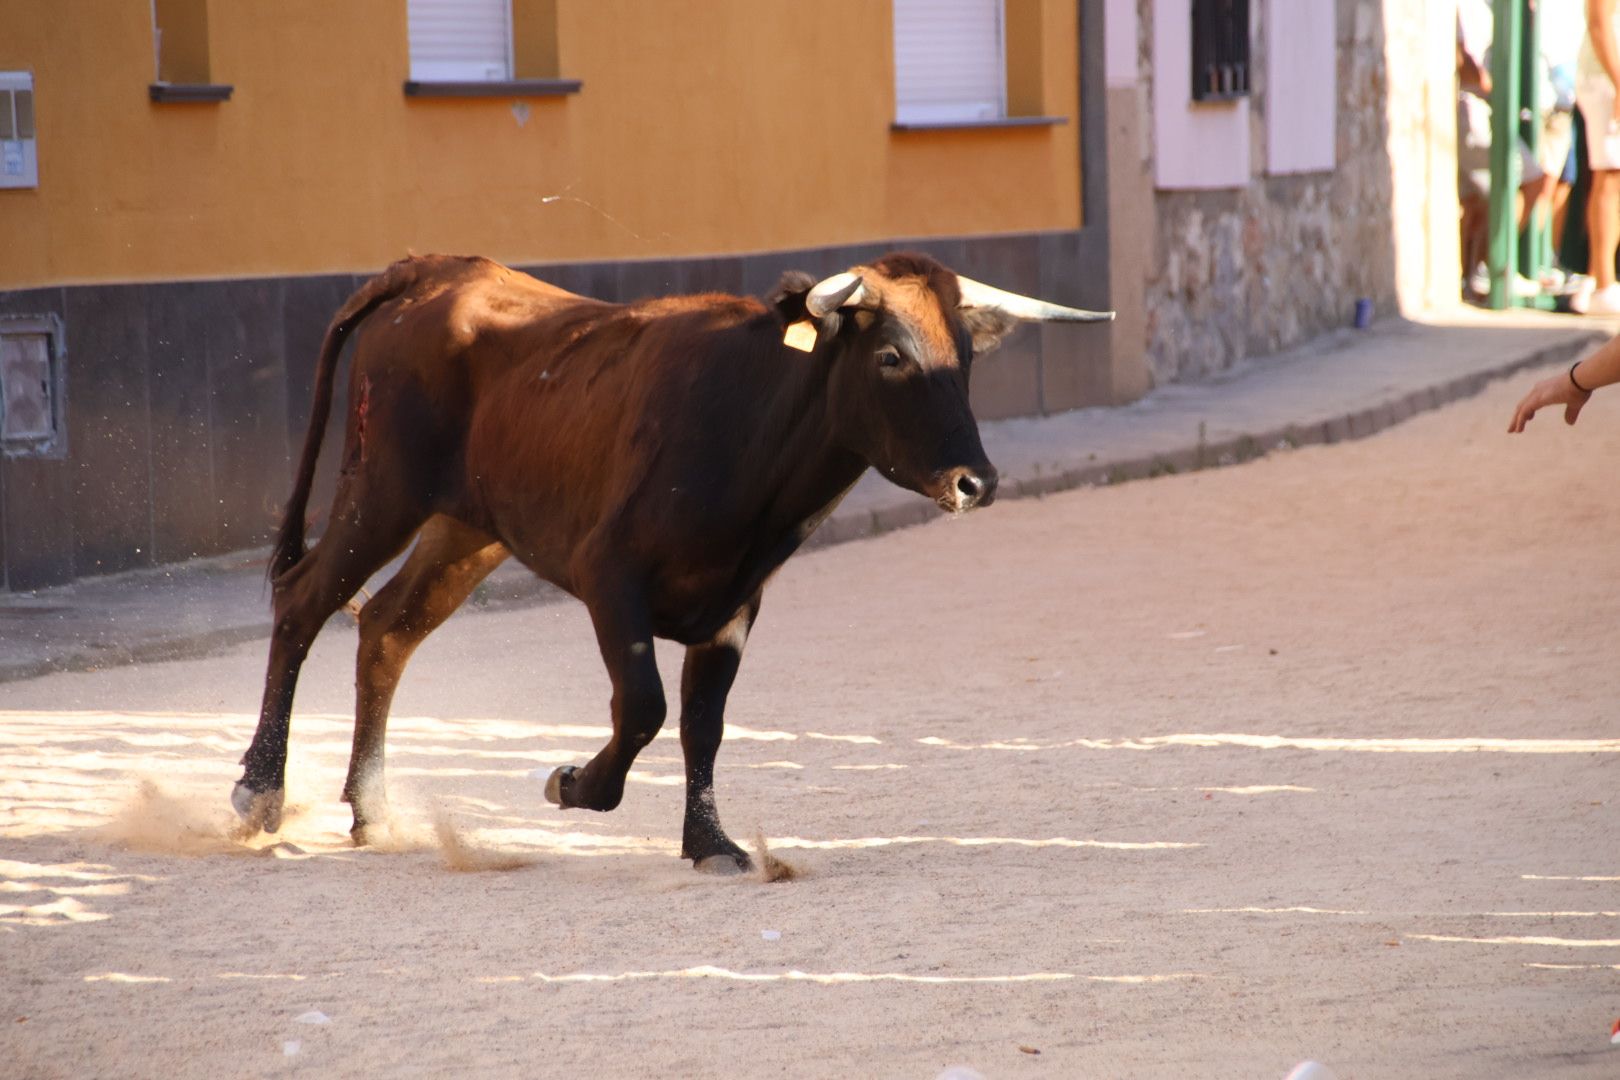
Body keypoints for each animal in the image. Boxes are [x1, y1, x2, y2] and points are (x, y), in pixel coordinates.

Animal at [231, 250, 1114, 867]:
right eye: (891, 356)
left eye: (965, 356)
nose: (977, 481)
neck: (750, 430)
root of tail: (433, 269)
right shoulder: (608, 578)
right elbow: (646, 706)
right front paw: (576, 785)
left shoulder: (733, 609)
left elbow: (704, 723)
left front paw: (709, 844)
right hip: (382, 492)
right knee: (304, 601)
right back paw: (259, 791)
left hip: (466, 527)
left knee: (386, 627)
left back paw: (372, 810)